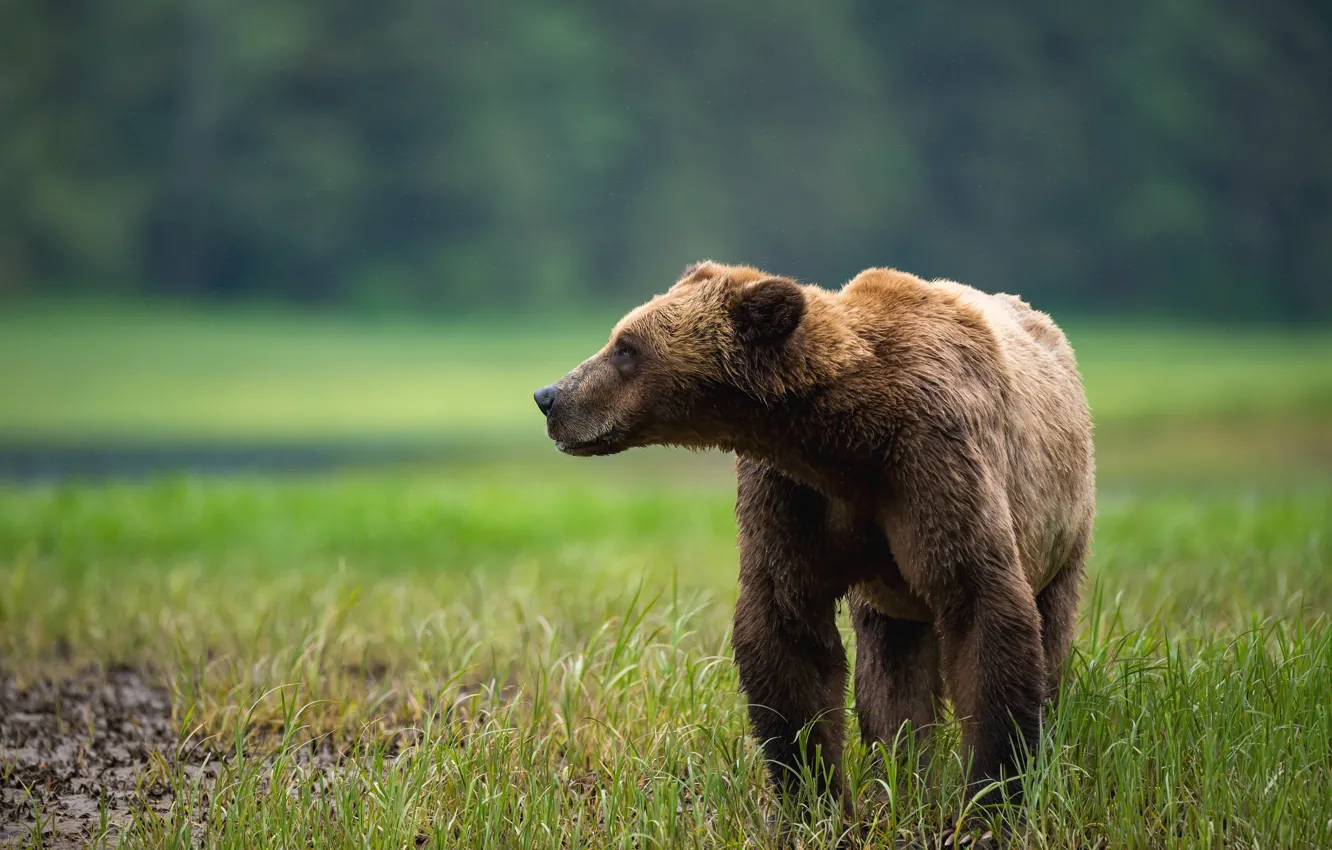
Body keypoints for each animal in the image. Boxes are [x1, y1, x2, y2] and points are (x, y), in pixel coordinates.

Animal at [533, 261, 1095, 819]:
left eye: (626, 346)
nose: (549, 396)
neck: (846, 441)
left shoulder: (935, 458)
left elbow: (979, 602)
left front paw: (991, 796)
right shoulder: (791, 495)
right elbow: (787, 630)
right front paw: (815, 800)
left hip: (1064, 525)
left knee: (1050, 627)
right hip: (892, 596)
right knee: (891, 669)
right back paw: (902, 777)